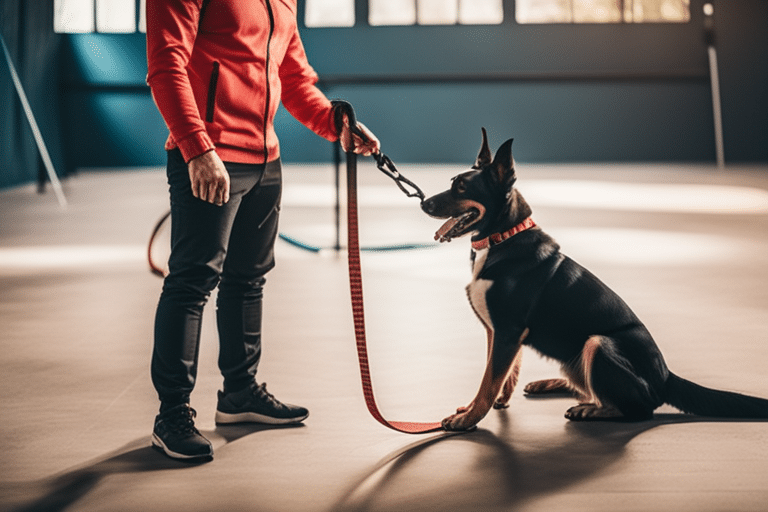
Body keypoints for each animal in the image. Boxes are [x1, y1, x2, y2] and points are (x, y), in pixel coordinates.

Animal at [420, 127, 768, 428]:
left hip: (598, 343)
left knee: (638, 409)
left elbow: (489, 380)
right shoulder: (500, 333)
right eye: (452, 182)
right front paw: (482, 407)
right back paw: (557, 385)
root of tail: (666, 377)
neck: (502, 238)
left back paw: (592, 409)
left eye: (462, 188)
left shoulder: (507, 330)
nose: (423, 202)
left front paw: (469, 419)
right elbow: (500, 374)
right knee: (588, 385)